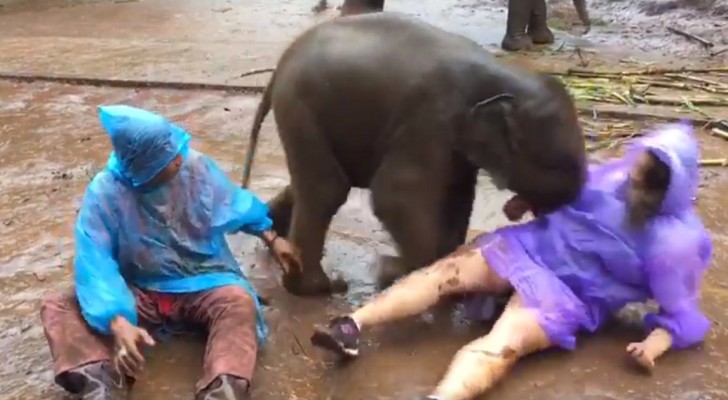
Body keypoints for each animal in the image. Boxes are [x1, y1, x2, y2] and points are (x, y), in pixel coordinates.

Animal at [242, 13, 588, 296]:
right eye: (554, 164)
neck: (501, 74)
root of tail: (281, 64)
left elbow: (457, 195)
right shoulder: (429, 118)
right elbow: (397, 194)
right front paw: (386, 271)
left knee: (310, 182)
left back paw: (273, 241)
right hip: (300, 106)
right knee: (327, 189)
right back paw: (320, 287)